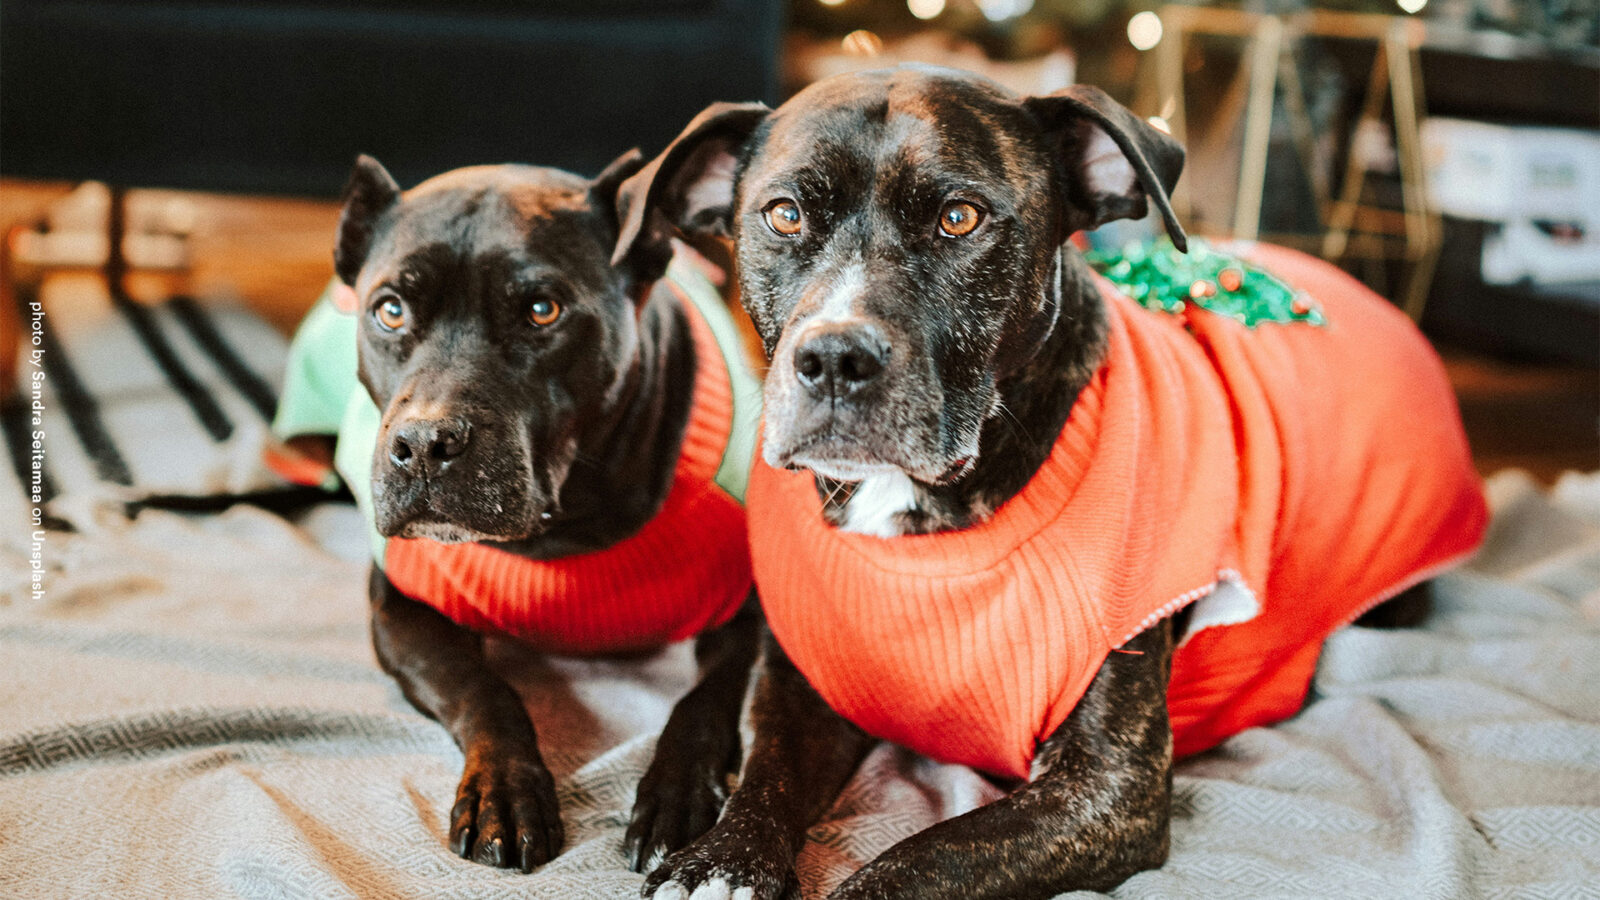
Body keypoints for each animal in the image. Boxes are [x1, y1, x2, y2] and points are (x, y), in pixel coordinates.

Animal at [326, 152, 761, 871]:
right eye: (389, 310)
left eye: (541, 310)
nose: (424, 444)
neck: (564, 530)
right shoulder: (400, 608)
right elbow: (486, 691)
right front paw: (503, 788)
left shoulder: (754, 615)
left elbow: (706, 700)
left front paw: (676, 792)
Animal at [614, 64, 1472, 896]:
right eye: (785, 215)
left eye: (959, 218)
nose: (833, 357)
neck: (922, 525)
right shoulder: (801, 683)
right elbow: (765, 774)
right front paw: (721, 860)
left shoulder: (1107, 788)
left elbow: (922, 857)